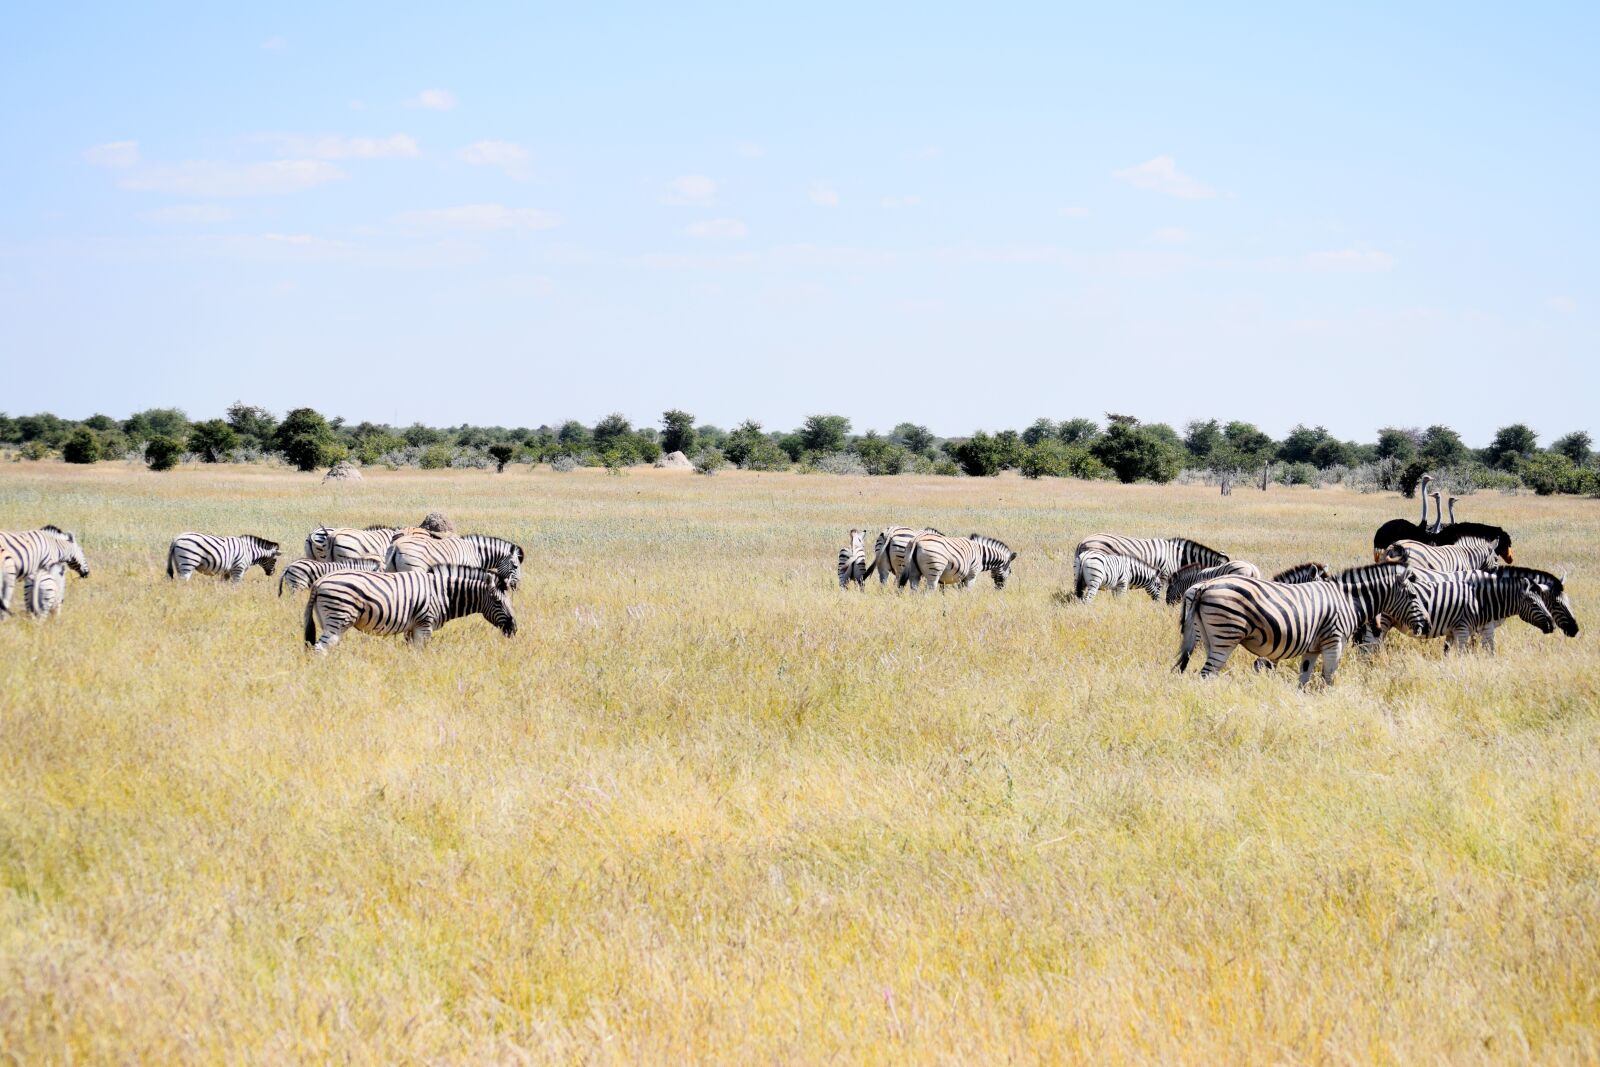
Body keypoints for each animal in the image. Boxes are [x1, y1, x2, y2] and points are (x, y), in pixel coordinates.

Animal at [303, 564, 518, 653]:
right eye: (498, 602)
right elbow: (421, 652)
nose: (514, 629)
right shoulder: (425, 625)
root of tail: (319, 582)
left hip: (328, 620)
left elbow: (410, 652)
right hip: (338, 618)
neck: (442, 593)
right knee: (320, 648)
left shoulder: (412, 627)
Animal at [385, 533, 524, 590]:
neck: (476, 553)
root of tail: (396, 545)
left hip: (390, 571)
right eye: (515, 566)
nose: (516, 586)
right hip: (414, 569)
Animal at [1176, 573, 1426, 688]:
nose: (1423, 624)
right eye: (1414, 595)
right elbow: (1328, 678)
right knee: (1206, 674)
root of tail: (1204, 585)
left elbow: (1303, 679)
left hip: (1208, 636)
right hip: (1226, 634)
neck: (1348, 601)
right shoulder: (1334, 641)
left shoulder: (1313, 648)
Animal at [1396, 572, 1555, 652]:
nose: (1552, 625)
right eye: (1534, 604)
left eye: (1543, 601)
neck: (1481, 599)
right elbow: (1474, 651)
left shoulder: (1455, 630)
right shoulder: (1465, 629)